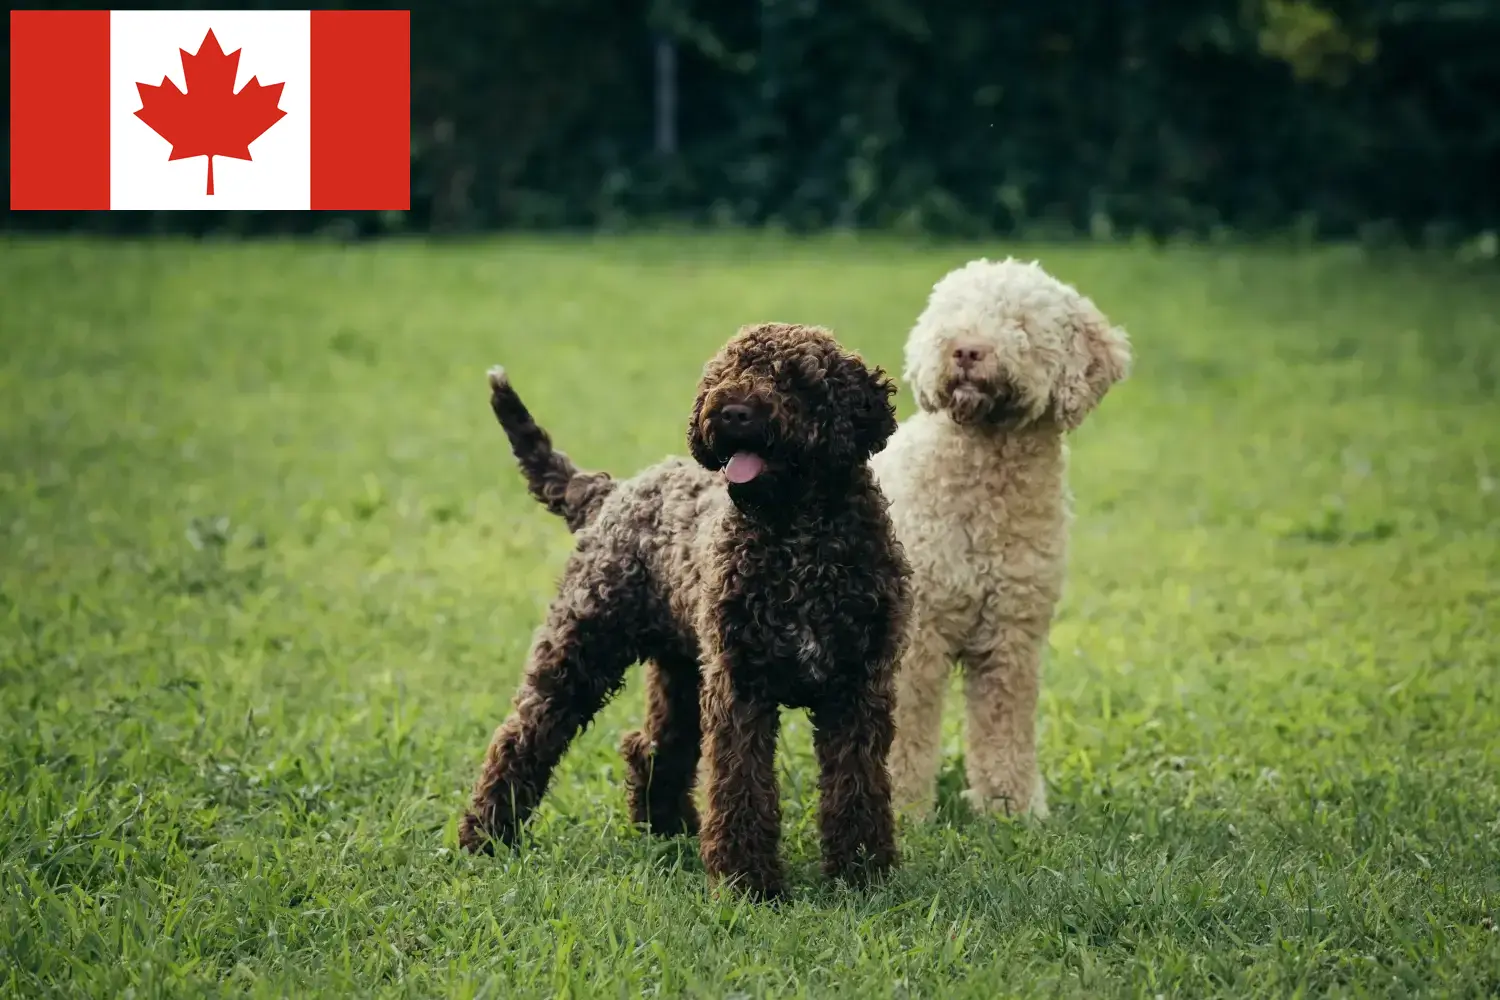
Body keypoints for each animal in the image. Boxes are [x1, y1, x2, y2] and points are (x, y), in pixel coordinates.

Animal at [453, 320, 912, 899]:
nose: (732, 411)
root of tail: (612, 492)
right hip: (580, 652)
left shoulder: (858, 690)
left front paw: (861, 875)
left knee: (651, 749)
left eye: (793, 378)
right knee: (521, 739)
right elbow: (741, 786)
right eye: (724, 373)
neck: (799, 540)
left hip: (682, 674)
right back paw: (485, 835)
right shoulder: (740, 689)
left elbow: (856, 788)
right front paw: (747, 884)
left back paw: (667, 829)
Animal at [876, 257, 1128, 821]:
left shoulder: (1011, 636)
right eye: (952, 313)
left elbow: (1005, 728)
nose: (967, 349)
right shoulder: (915, 638)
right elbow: (904, 734)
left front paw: (1011, 808)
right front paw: (902, 811)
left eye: (1021, 323)